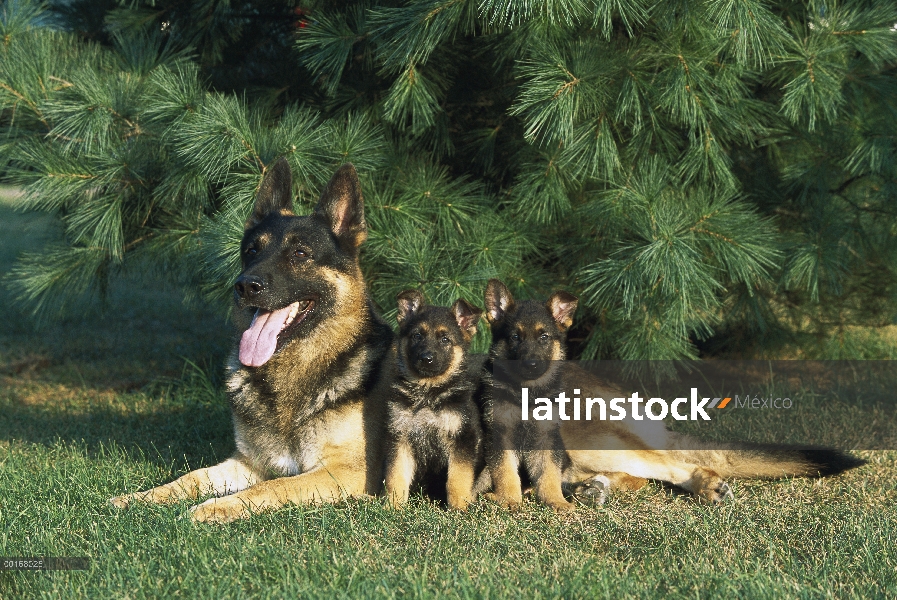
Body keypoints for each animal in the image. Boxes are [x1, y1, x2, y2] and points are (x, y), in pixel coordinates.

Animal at [111, 158, 392, 520]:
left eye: (300, 254)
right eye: (251, 251)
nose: (245, 285)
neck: (294, 371)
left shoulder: (346, 472)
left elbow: (273, 487)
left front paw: (214, 508)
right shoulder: (249, 462)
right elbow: (191, 477)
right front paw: (140, 497)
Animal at [384, 290, 484, 510]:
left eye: (445, 339)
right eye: (417, 336)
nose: (426, 358)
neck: (427, 393)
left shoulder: (463, 438)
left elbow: (457, 478)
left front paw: (459, 508)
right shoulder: (400, 437)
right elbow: (396, 475)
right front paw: (392, 507)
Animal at [476, 278, 860, 508]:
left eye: (544, 337)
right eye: (513, 338)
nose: (529, 366)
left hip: (588, 439)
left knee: (669, 465)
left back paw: (703, 485)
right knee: (636, 476)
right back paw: (593, 488)